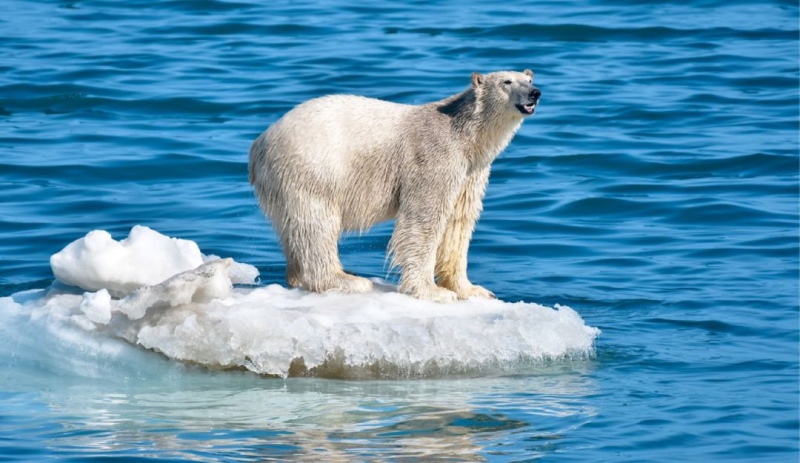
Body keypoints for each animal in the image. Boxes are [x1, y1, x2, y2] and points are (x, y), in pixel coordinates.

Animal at [247, 68, 540, 300]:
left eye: (528, 78)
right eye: (507, 81)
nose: (534, 93)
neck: (464, 133)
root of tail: (259, 144)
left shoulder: (470, 172)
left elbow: (459, 222)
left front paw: (472, 289)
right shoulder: (434, 157)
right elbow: (424, 219)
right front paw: (432, 291)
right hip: (311, 168)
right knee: (317, 224)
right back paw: (346, 280)